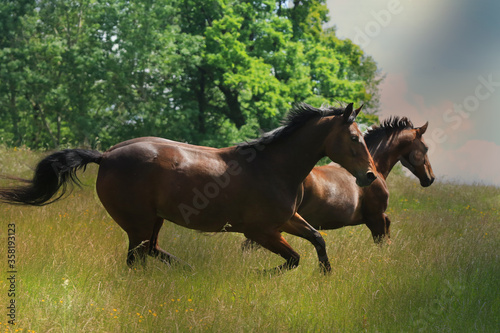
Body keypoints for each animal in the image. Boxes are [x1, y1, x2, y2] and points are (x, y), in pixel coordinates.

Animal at [0, 102, 376, 272]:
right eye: (355, 139)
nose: (370, 176)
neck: (273, 167)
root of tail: (105, 156)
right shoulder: (261, 231)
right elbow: (294, 258)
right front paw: (260, 274)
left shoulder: (287, 220)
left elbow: (317, 239)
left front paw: (326, 276)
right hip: (138, 223)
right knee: (137, 257)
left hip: (152, 221)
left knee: (150, 252)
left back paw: (189, 271)